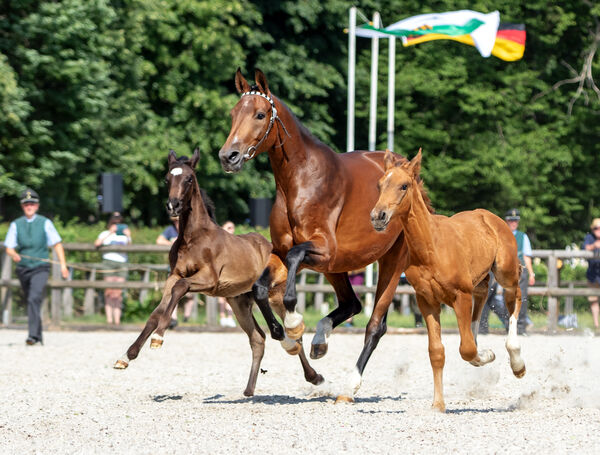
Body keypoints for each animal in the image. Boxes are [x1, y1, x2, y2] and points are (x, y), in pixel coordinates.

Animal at [113, 151, 324, 400]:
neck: (192, 238)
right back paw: (249, 389)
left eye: (189, 179)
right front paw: (127, 357)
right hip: (239, 303)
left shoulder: (208, 279)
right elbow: (157, 311)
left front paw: (158, 337)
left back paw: (313, 375)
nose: (173, 206)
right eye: (167, 179)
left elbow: (180, 288)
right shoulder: (173, 276)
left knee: (294, 332)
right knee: (257, 338)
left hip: (276, 296)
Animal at [218, 68, 434, 400]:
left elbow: (292, 275)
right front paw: (286, 336)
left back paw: (350, 383)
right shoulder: (283, 254)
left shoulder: (321, 249)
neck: (300, 181)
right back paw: (320, 340)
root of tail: (410, 173)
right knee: (352, 304)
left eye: (260, 114)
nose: (229, 156)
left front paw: (294, 322)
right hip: (337, 267)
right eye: (233, 113)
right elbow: (259, 287)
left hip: (390, 261)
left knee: (375, 324)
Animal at [370, 151, 524, 414]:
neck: (431, 247)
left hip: (505, 271)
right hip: (479, 279)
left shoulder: (460, 295)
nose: (378, 217)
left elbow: (467, 349)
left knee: (515, 297)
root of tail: (490, 216)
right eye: (380, 185)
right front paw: (438, 404)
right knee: (483, 295)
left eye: (404, 185)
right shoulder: (427, 301)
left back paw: (517, 361)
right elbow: (437, 352)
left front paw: (486, 355)